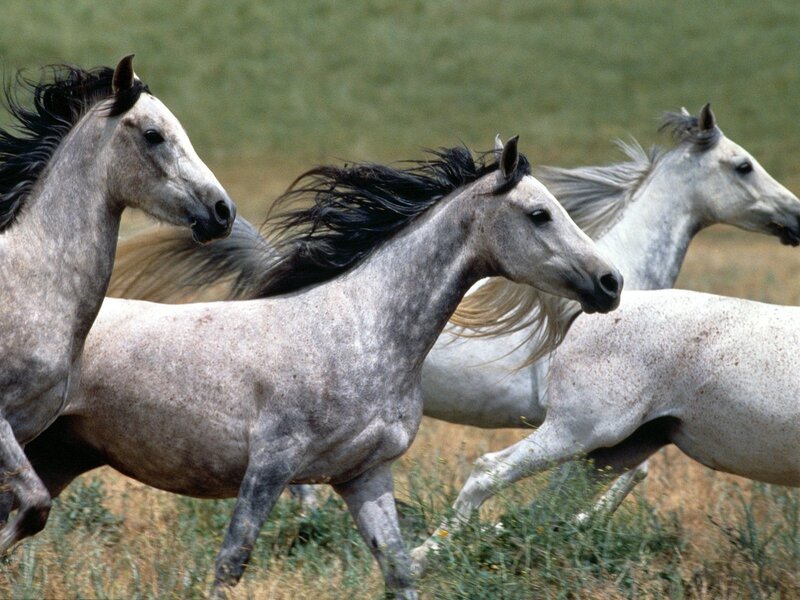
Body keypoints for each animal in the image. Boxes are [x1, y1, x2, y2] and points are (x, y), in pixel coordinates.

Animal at [7, 138, 622, 598]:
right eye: (539, 214)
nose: (610, 283)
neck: (358, 331)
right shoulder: (270, 467)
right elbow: (231, 563)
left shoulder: (364, 475)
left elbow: (399, 571)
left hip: (58, 456)